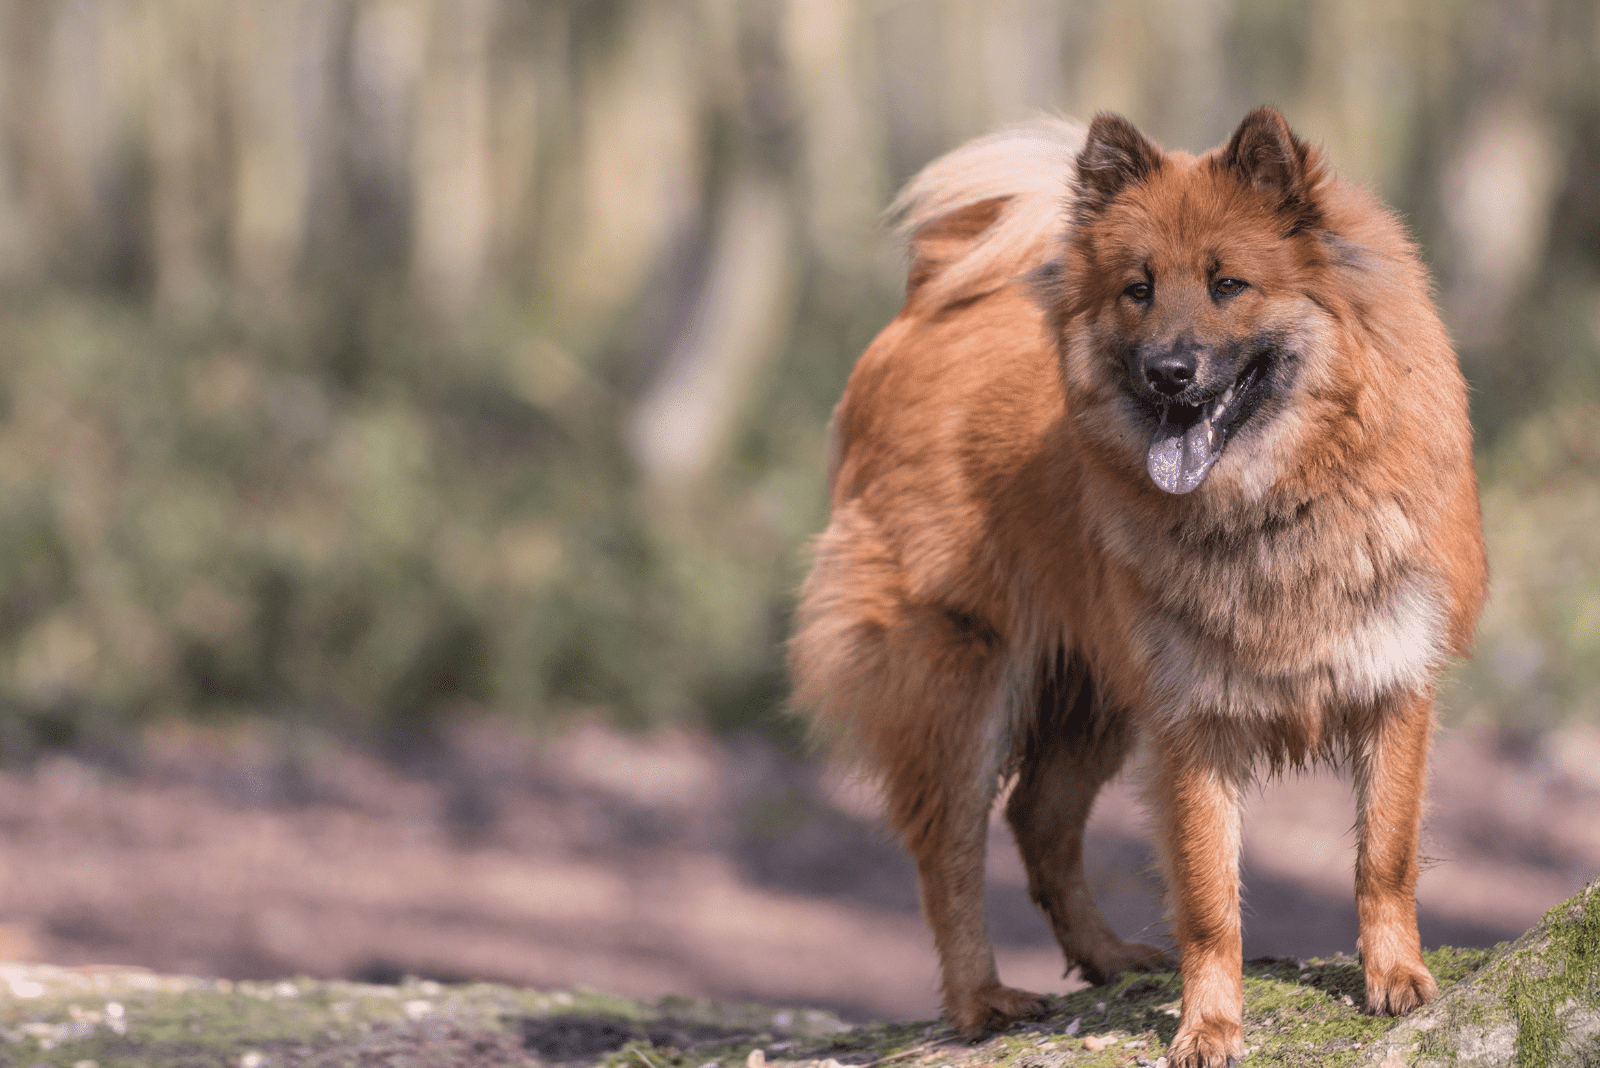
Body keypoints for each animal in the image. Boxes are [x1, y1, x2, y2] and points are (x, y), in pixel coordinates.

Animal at [787, 110, 1484, 1068]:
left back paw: (1107, 955)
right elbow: (1209, 899)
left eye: (1228, 284)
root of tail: (927, 311)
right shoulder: (1190, 724)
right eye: (1138, 291)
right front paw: (1209, 1027)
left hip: (1090, 694)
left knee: (1038, 819)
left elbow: (1384, 856)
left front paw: (1395, 977)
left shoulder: (1392, 684)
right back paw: (981, 1000)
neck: (1274, 504)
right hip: (964, 681)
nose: (1169, 372)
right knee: (950, 852)